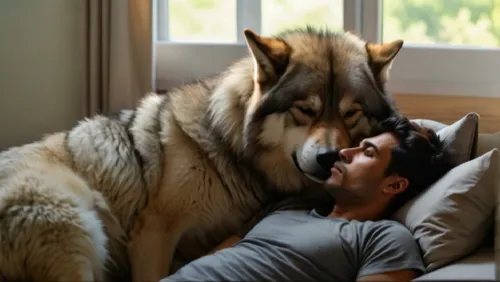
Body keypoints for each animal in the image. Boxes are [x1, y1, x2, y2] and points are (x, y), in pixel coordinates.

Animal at [0, 27, 402, 282]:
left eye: (351, 113)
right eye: (305, 110)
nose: (330, 157)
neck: (228, 147)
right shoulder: (154, 233)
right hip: (79, 229)